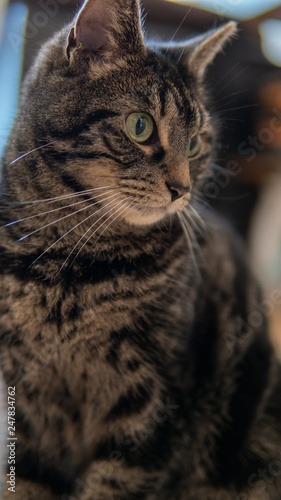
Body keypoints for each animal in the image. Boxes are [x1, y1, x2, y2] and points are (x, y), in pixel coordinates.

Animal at [0, 0, 280, 498]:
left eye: (195, 143)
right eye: (140, 127)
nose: (182, 190)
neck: (70, 266)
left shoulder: (154, 401)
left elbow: (115, 483)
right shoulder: (27, 404)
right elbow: (26, 479)